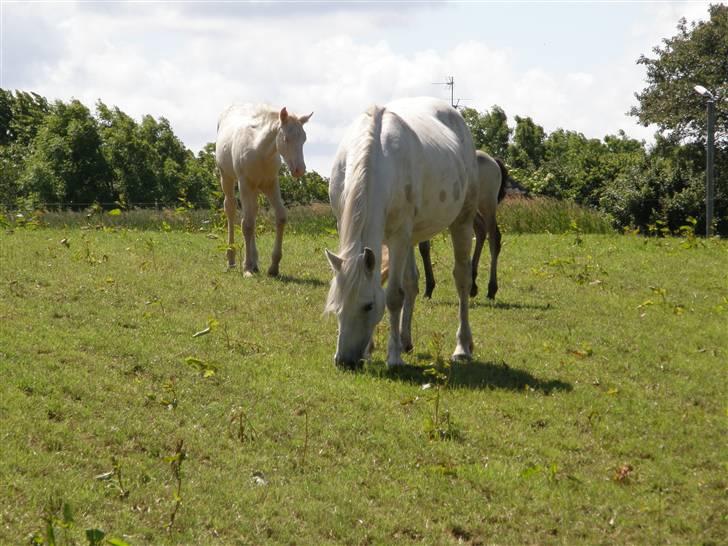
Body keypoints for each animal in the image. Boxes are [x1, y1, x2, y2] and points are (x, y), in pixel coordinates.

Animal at [213, 102, 310, 274]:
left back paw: (255, 262)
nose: (300, 170)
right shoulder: (244, 184)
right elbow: (247, 224)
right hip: (227, 178)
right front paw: (246, 268)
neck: (261, 151)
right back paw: (232, 260)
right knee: (231, 209)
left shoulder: (270, 184)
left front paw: (274, 267)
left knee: (253, 211)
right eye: (286, 138)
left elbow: (280, 217)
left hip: (256, 188)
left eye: (304, 139)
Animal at [324, 99, 478, 370]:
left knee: (461, 279)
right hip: (411, 237)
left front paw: (393, 357)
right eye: (336, 304)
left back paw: (462, 348)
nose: (344, 361)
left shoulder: (398, 236)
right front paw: (370, 350)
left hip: (461, 221)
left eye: (368, 306)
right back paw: (406, 340)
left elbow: (394, 296)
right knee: (412, 282)